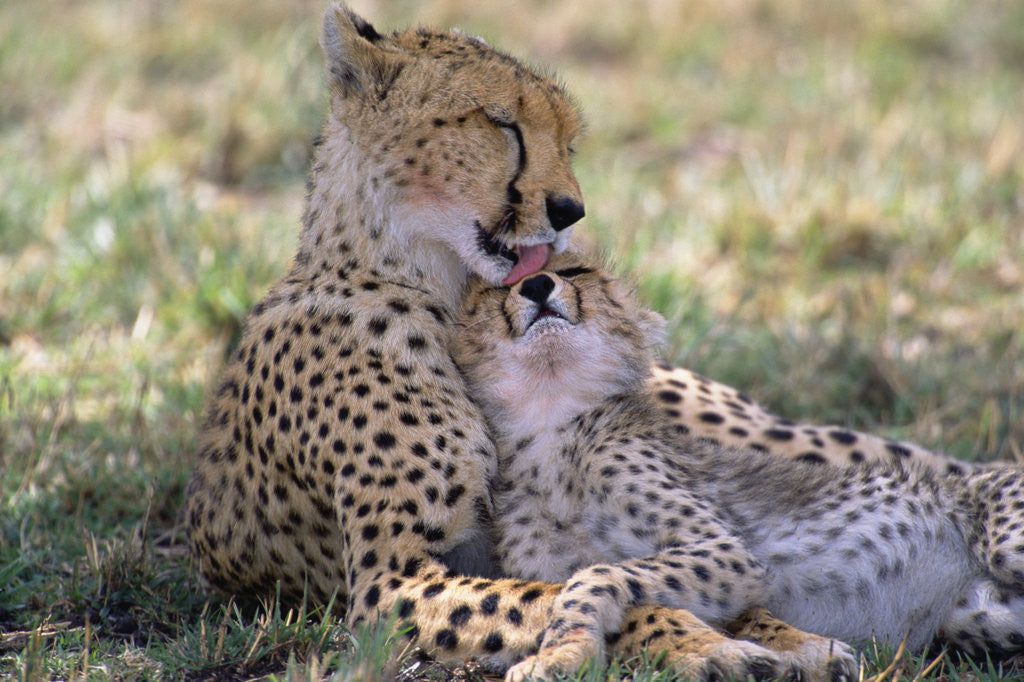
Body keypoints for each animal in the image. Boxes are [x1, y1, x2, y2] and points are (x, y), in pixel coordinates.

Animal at [452, 249, 1024, 681]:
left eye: (574, 271)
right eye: (501, 286)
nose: (538, 285)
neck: (550, 425)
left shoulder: (725, 551)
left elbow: (595, 574)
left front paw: (561, 652)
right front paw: (566, 651)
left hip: (1005, 545)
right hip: (982, 616)